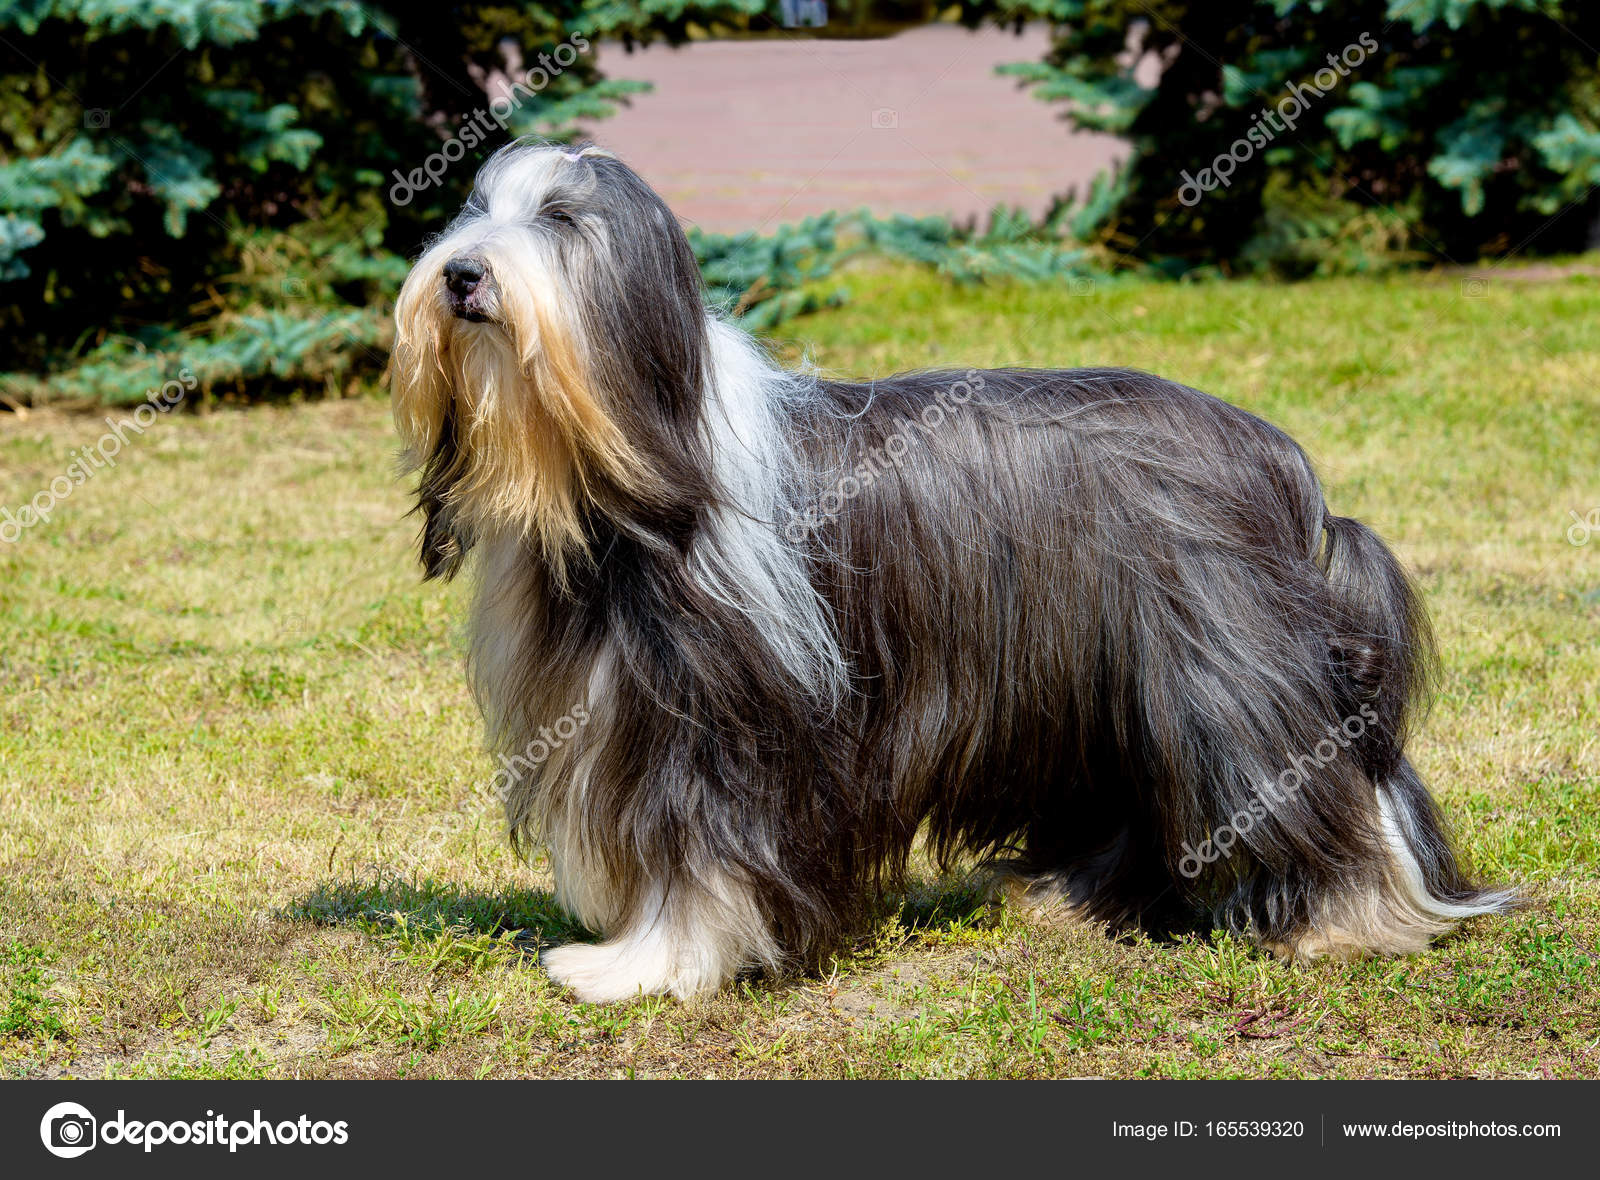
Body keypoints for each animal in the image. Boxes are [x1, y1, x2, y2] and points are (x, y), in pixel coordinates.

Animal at [390, 139, 1510, 1004]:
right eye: (472, 211)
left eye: (561, 221)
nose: (460, 276)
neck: (632, 458)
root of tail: (1279, 460)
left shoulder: (719, 722)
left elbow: (698, 856)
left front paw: (639, 966)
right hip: (1116, 682)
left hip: (1221, 668)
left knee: (1314, 776)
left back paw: (1346, 920)